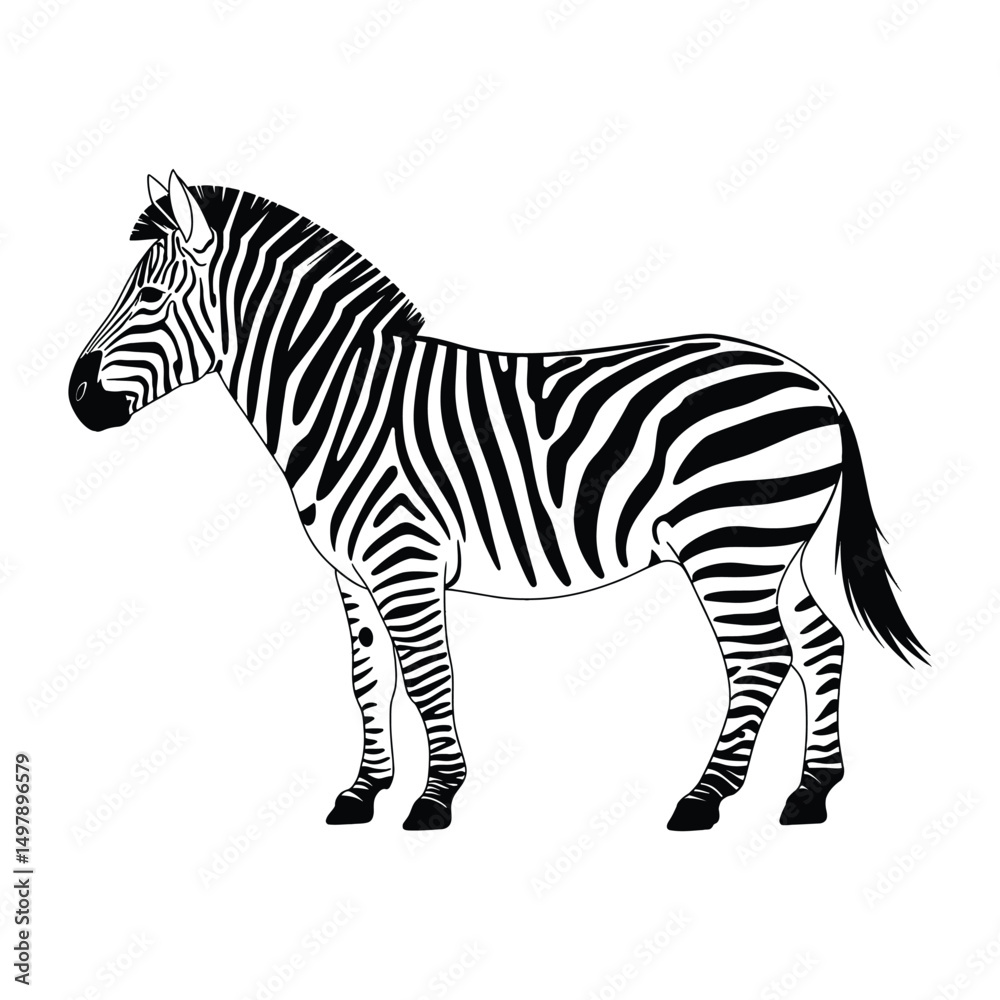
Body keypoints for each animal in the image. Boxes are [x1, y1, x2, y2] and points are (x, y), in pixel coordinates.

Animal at [69, 172, 926, 832]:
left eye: (150, 297)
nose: (75, 397)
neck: (340, 400)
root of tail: (815, 385)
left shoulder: (404, 559)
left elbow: (428, 677)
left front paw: (435, 800)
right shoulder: (352, 575)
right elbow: (366, 677)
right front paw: (363, 792)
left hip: (729, 545)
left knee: (762, 658)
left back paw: (705, 799)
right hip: (772, 548)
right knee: (820, 641)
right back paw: (811, 792)